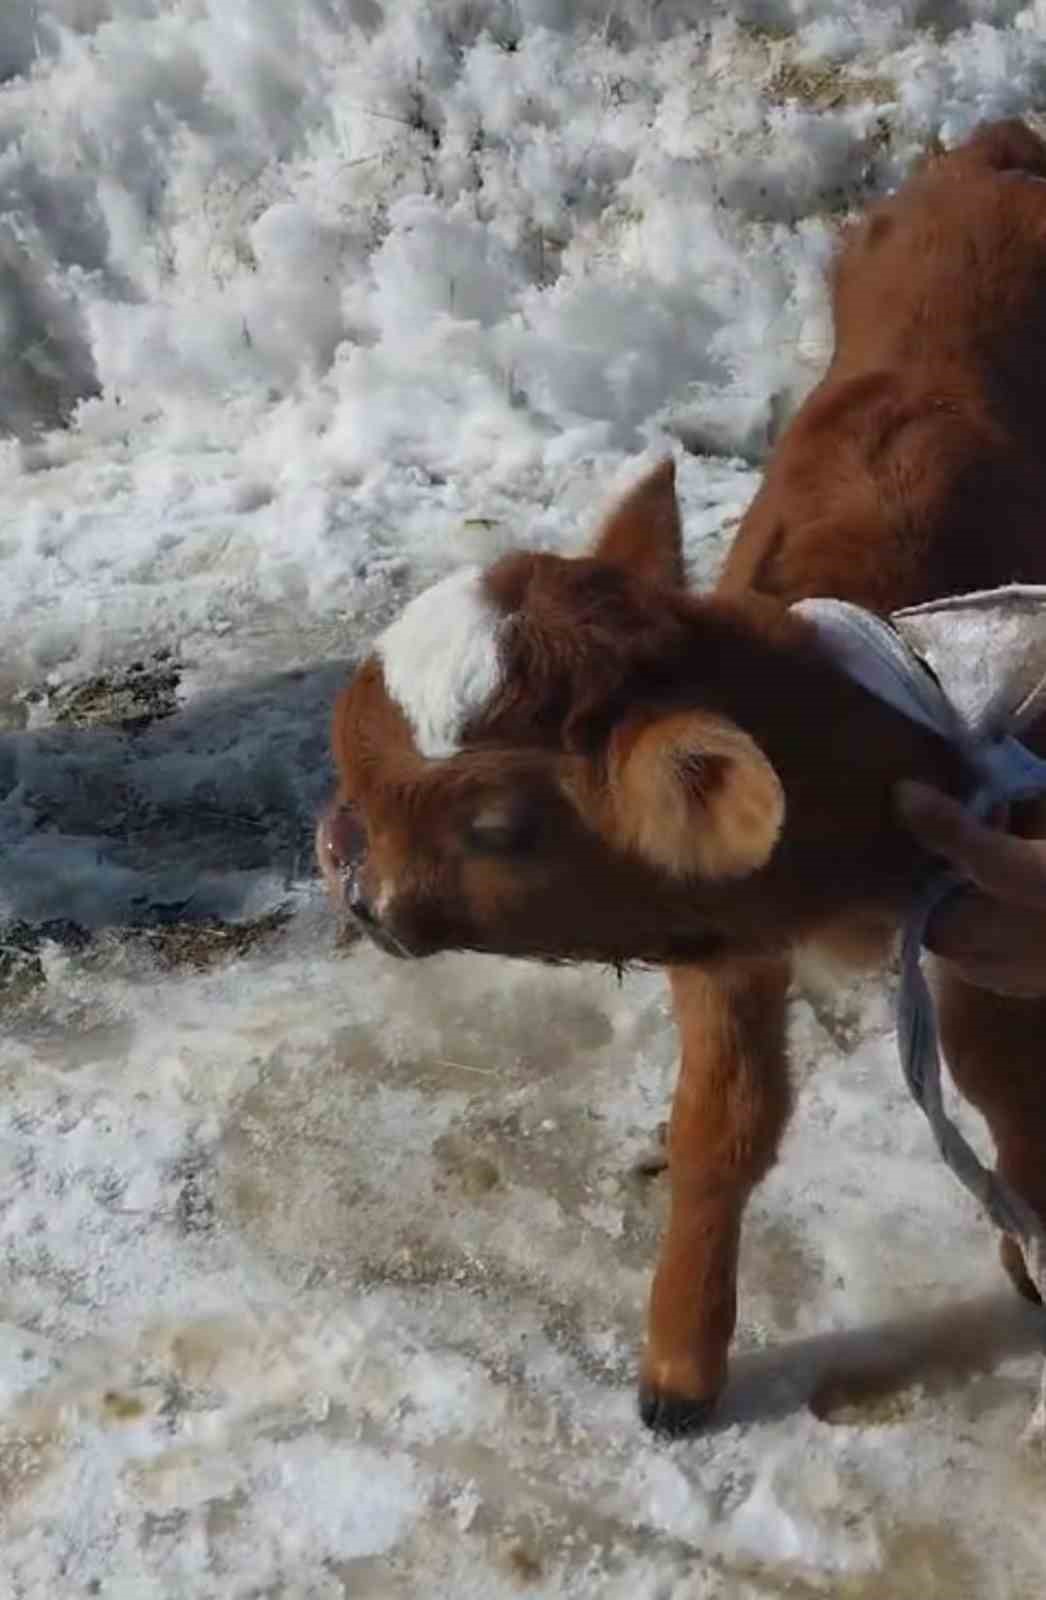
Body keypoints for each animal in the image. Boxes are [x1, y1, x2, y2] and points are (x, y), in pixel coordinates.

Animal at [321, 118, 1046, 1433]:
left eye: (497, 824)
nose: (349, 880)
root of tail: (997, 149)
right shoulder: (723, 933)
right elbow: (723, 1124)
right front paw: (676, 1364)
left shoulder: (985, 896)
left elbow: (1010, 1097)